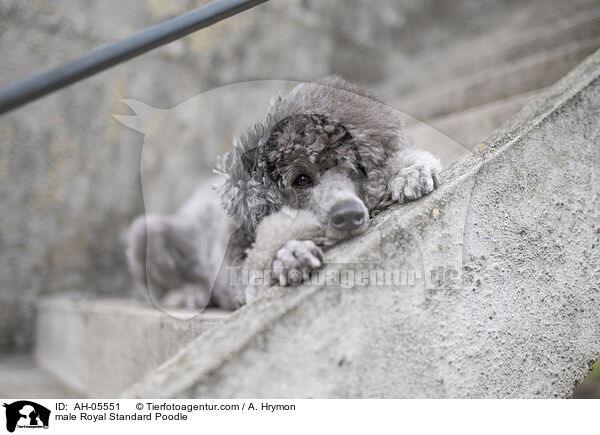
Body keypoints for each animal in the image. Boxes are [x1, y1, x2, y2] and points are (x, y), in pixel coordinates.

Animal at [125, 76, 440, 312]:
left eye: (357, 170)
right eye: (300, 179)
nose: (348, 215)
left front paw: (410, 172)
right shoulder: (237, 264)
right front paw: (290, 254)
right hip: (146, 233)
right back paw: (187, 294)